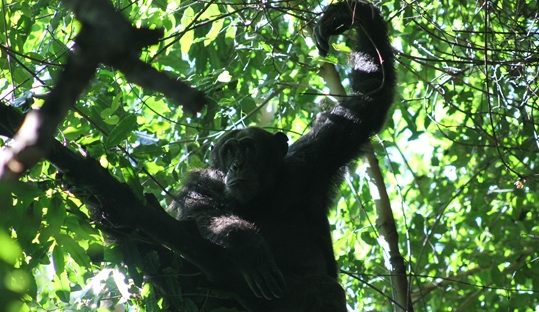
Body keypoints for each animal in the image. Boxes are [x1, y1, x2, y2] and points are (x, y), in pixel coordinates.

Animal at [168, 1, 396, 310]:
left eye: (247, 148)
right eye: (229, 151)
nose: (237, 165)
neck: (264, 194)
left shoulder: (319, 154)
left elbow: (368, 101)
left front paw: (348, 15)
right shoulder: (201, 182)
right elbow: (199, 214)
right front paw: (249, 246)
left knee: (327, 291)